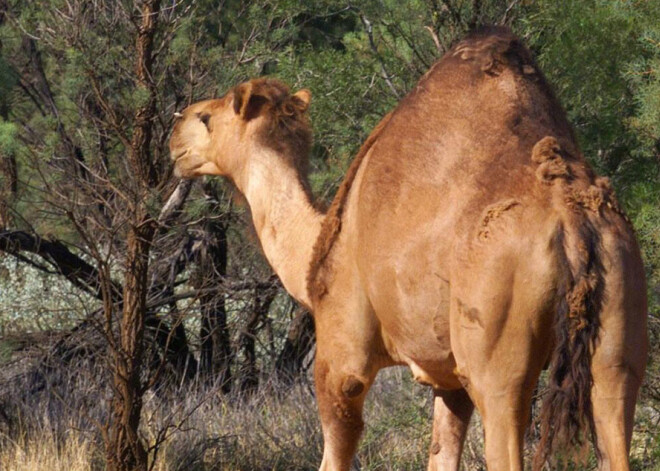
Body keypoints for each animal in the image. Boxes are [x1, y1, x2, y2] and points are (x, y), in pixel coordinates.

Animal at [170, 25, 648, 471]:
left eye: (207, 118)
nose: (175, 130)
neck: (316, 249)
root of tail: (573, 219)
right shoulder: (447, 380)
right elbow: (441, 454)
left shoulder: (341, 358)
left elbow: (334, 450)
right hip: (617, 336)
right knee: (615, 412)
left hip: (498, 365)